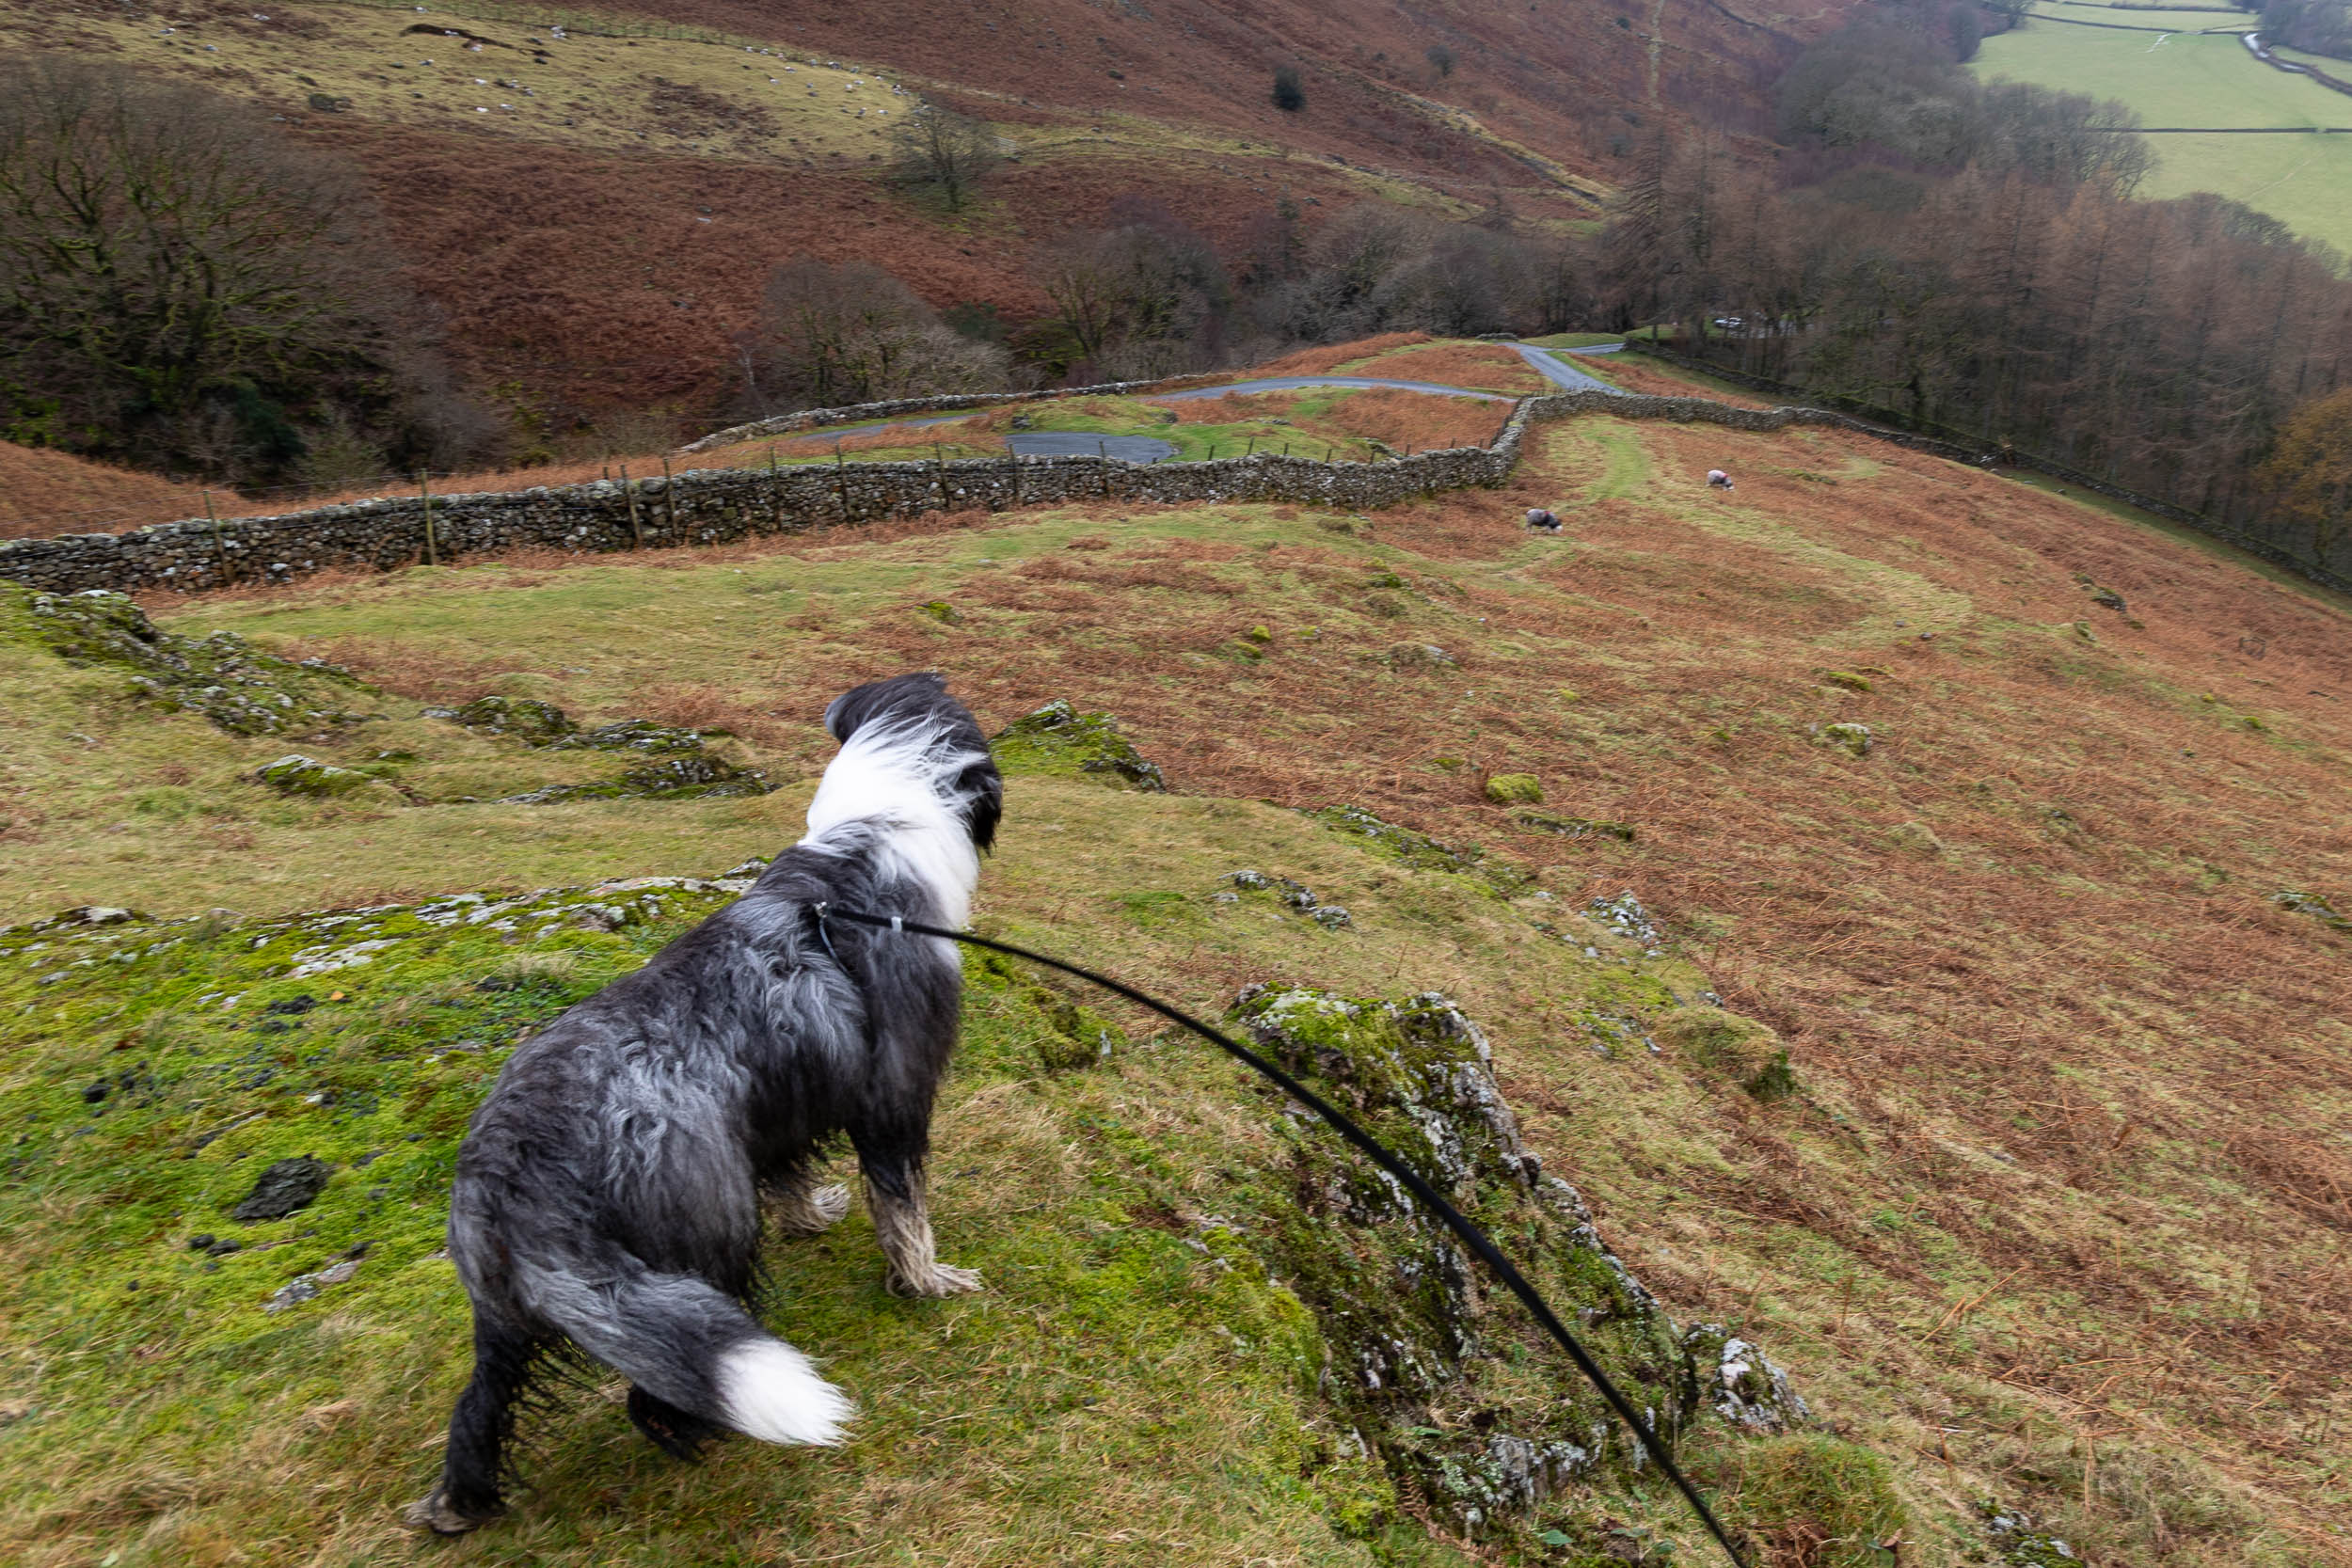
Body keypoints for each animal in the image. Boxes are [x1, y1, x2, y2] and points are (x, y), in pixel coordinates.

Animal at [406, 672, 1003, 1534]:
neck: (871, 834)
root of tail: (517, 1170)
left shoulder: (781, 1101)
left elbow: (790, 1171)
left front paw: (814, 1216)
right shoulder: (894, 1097)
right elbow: (903, 1211)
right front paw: (928, 1283)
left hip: (506, 1312)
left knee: (481, 1406)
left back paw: (461, 1501)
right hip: (709, 1232)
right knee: (651, 1394)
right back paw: (706, 1432)